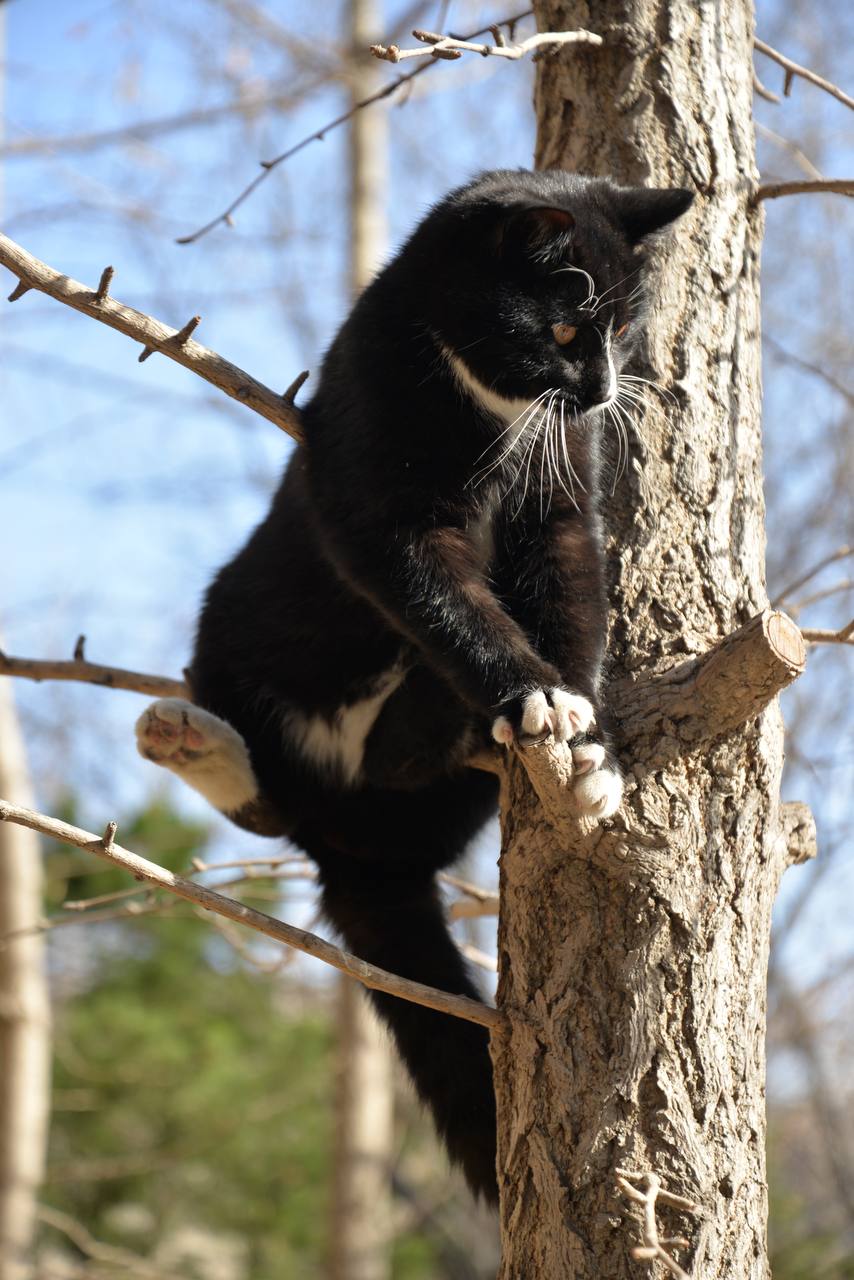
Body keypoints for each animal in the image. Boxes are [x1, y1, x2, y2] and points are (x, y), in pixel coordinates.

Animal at [135, 167, 696, 1198]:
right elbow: (443, 598)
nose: (602, 392)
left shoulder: (564, 504)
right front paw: (534, 696)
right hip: (234, 625)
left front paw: (585, 740)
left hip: (411, 802)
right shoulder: (378, 492)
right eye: (567, 329)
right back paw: (192, 739)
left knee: (392, 785)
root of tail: (362, 850)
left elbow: (572, 597)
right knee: (271, 803)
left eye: (625, 327)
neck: (496, 416)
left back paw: (450, 740)